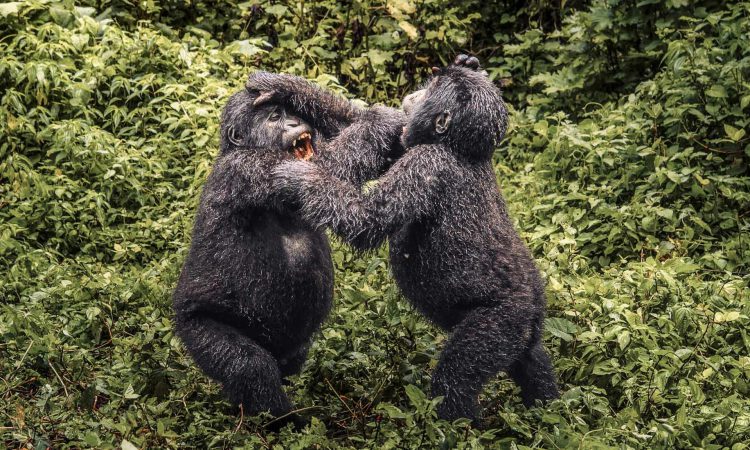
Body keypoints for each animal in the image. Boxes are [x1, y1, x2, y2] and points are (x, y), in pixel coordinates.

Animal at [271, 56, 560, 425]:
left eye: (432, 89)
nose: (417, 91)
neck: (456, 147)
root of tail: (535, 307)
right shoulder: (406, 142)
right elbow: (364, 124)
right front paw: (281, 86)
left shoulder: (425, 165)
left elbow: (367, 219)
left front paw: (300, 178)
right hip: (527, 331)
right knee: (534, 364)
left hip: (503, 321)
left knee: (456, 379)